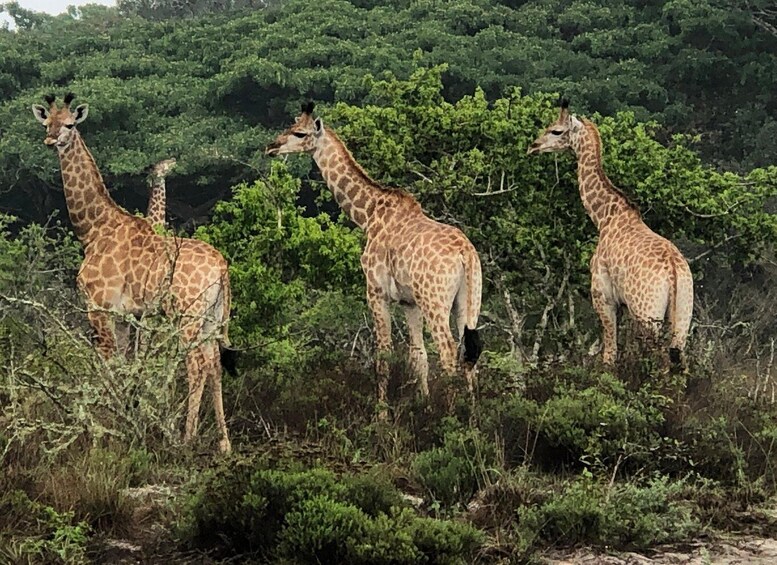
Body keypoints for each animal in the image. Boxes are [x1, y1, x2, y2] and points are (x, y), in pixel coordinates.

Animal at [31, 94, 232, 452]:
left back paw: (186, 438)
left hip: (187, 314)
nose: (52, 140)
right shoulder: (127, 315)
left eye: (69, 124)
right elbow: (127, 367)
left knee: (195, 364)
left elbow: (108, 366)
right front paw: (128, 418)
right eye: (46, 123)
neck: (93, 228)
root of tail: (222, 267)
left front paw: (107, 430)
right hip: (211, 316)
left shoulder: (99, 306)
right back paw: (224, 445)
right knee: (214, 363)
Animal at [270, 103, 482, 408]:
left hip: (435, 300)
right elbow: (418, 356)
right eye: (291, 126)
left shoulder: (376, 291)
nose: (271, 147)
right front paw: (424, 407)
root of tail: (465, 253)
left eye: (299, 133)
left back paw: (453, 415)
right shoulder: (409, 302)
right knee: (470, 355)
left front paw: (382, 414)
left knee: (448, 352)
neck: (367, 214)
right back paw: (473, 414)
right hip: (469, 298)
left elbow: (383, 356)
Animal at [528, 99, 692, 366]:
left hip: (648, 315)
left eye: (556, 131)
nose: (533, 146)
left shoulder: (603, 296)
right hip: (682, 317)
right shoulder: (624, 306)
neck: (605, 217)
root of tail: (674, 273)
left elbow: (609, 354)